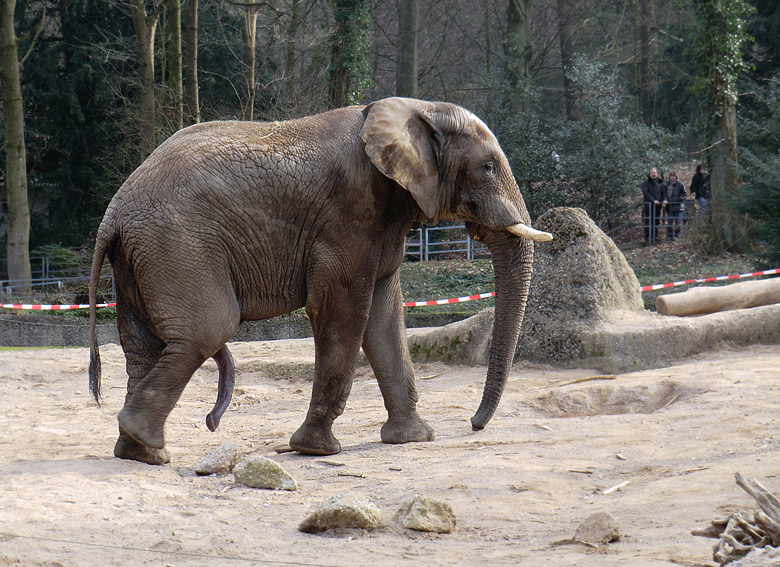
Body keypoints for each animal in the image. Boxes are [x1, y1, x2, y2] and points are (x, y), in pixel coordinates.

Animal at [88, 95, 552, 464]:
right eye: (487, 168)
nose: (474, 424)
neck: (417, 108)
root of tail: (113, 213)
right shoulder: (348, 214)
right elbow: (343, 312)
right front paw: (315, 449)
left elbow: (385, 319)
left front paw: (411, 439)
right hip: (176, 244)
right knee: (207, 329)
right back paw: (146, 440)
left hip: (140, 257)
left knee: (144, 344)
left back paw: (141, 453)